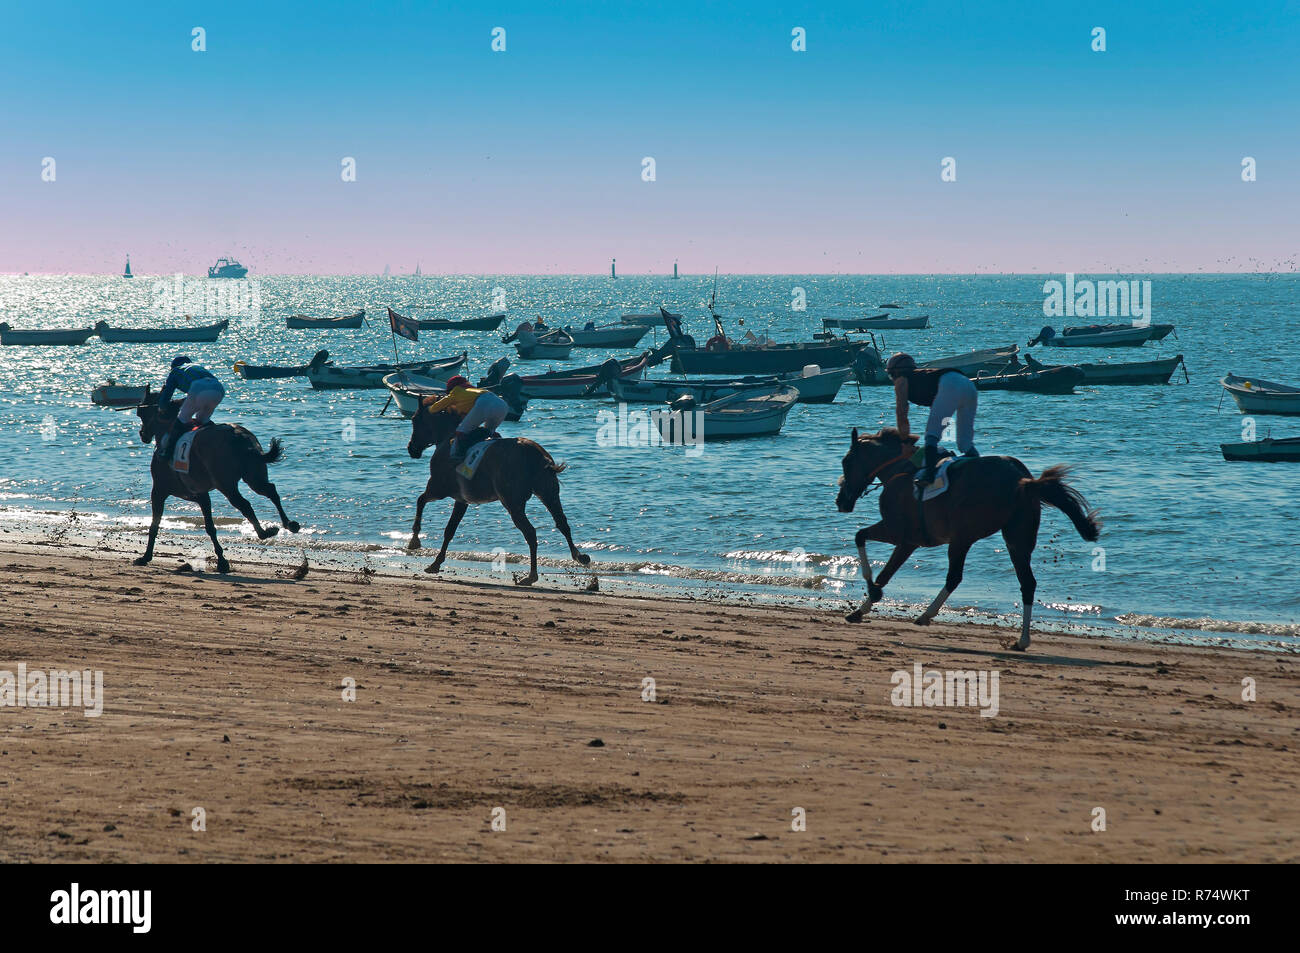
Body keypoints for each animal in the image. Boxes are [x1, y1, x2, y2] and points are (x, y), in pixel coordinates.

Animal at [135, 395, 300, 572]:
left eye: (143, 415)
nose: (142, 434)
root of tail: (239, 436)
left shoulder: (159, 491)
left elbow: (154, 525)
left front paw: (145, 556)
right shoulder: (201, 495)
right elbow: (210, 527)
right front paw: (222, 561)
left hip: (226, 485)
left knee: (245, 504)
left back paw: (265, 532)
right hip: (254, 476)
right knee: (270, 491)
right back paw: (289, 524)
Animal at [403, 400, 592, 582]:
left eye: (414, 420)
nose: (411, 448)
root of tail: (535, 454)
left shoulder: (438, 488)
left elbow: (420, 500)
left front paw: (414, 541)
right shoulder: (462, 500)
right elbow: (450, 530)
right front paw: (435, 563)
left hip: (512, 502)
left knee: (530, 532)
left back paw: (531, 575)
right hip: (548, 494)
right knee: (562, 523)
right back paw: (579, 556)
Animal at [837, 426, 1102, 650]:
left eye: (846, 461)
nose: (841, 501)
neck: (900, 470)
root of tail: (1023, 480)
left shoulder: (897, 533)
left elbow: (862, 541)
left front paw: (870, 594)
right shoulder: (908, 542)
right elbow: (885, 572)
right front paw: (861, 609)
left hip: (962, 538)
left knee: (955, 577)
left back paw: (926, 615)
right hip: (1016, 539)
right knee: (1027, 583)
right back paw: (1022, 640)